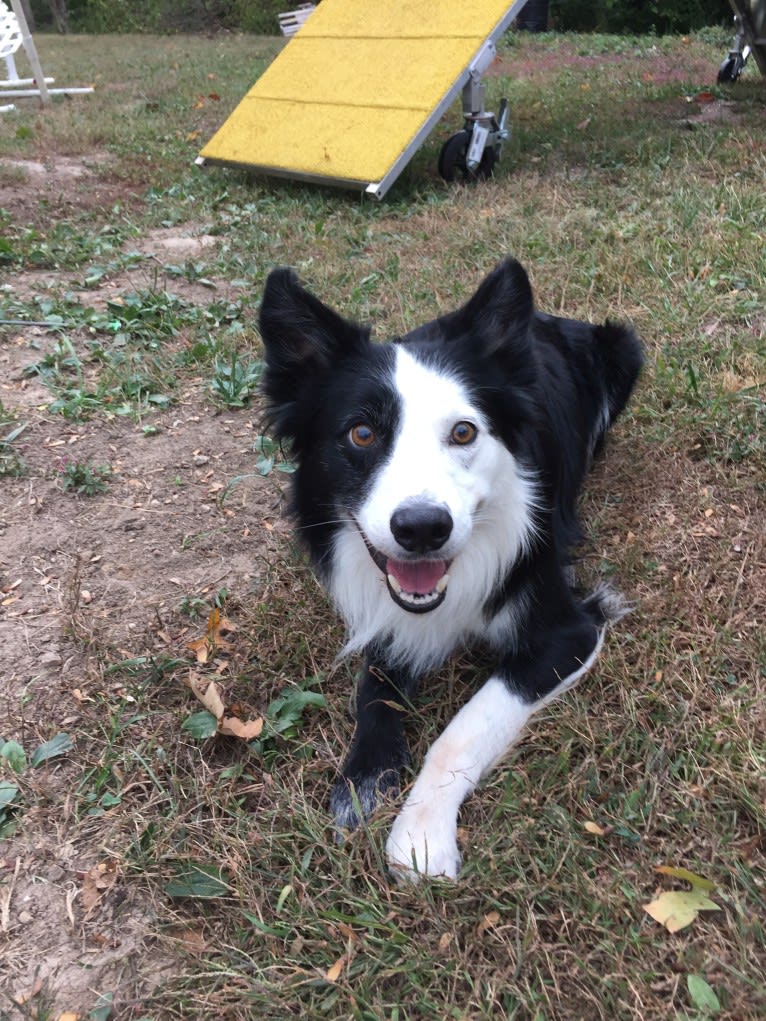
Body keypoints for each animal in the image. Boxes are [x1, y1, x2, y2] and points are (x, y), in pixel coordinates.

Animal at [261, 255, 645, 878]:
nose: (421, 529)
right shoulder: (388, 607)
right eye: (361, 433)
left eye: (464, 432)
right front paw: (364, 777)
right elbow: (374, 689)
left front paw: (419, 837)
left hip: (623, 347)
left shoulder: (569, 632)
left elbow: (462, 729)